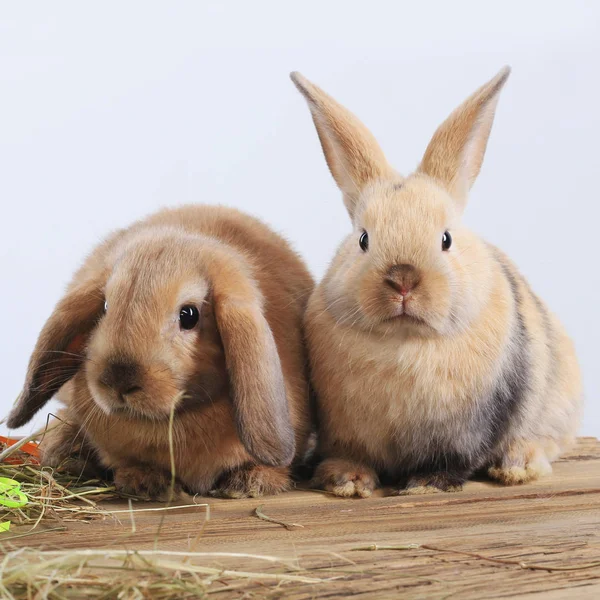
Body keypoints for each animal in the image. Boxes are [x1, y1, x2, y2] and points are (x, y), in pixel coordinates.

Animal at [290, 68, 580, 494]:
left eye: (446, 239)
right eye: (363, 239)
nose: (403, 280)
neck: (404, 342)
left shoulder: (466, 432)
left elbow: (450, 461)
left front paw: (424, 485)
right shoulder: (344, 431)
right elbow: (349, 455)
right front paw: (348, 481)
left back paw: (517, 466)